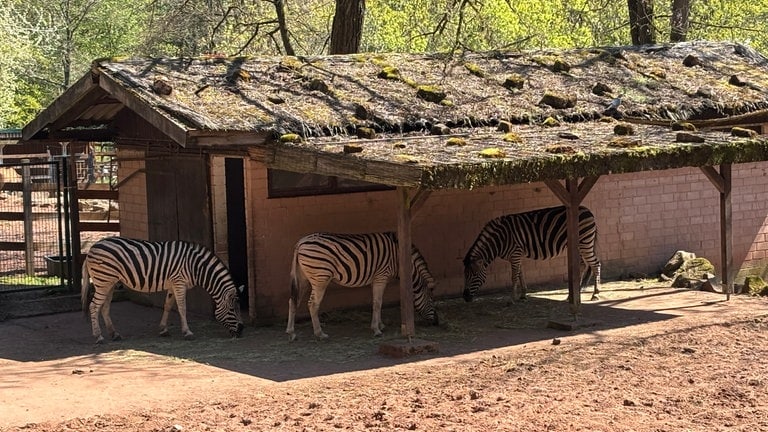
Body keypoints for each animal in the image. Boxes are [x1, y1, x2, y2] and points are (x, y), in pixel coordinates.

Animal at [81, 236, 245, 343]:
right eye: (232, 309)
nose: (241, 332)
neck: (196, 267)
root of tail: (91, 249)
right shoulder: (179, 282)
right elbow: (182, 308)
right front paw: (187, 332)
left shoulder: (173, 284)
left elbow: (168, 305)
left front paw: (163, 329)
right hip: (103, 281)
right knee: (93, 306)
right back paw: (99, 337)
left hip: (110, 282)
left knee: (104, 307)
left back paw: (114, 334)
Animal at [285, 232, 439, 340]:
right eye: (431, 300)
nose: (436, 323)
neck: (399, 258)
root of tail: (300, 243)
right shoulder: (381, 276)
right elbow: (378, 303)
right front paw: (376, 330)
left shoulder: (375, 278)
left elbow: (377, 302)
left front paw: (380, 324)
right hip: (320, 278)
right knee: (312, 304)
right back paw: (320, 333)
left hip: (304, 278)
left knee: (293, 301)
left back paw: (291, 332)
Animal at [463, 205, 601, 303]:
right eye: (465, 275)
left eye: (474, 275)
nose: (465, 297)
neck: (500, 239)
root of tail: (588, 211)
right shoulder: (517, 255)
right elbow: (520, 274)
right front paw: (523, 295)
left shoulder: (515, 254)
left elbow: (514, 277)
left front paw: (512, 299)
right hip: (579, 244)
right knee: (583, 265)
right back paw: (574, 293)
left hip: (585, 242)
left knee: (596, 264)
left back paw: (595, 293)